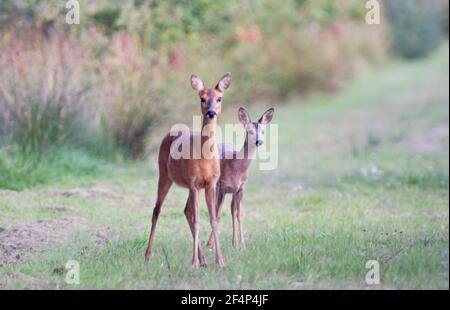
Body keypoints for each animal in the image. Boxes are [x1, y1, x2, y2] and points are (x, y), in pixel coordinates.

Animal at [145, 72, 232, 266]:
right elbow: (198, 219)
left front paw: (220, 261)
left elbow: (213, 219)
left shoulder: (210, 183)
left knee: (186, 211)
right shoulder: (193, 183)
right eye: (202, 98)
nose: (211, 112)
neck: (205, 157)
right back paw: (148, 255)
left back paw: (203, 258)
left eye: (219, 98)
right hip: (164, 174)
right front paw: (194, 263)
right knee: (157, 210)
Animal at [207, 108, 274, 248]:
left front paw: (241, 243)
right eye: (250, 131)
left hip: (232, 191)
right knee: (215, 209)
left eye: (263, 131)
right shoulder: (222, 186)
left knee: (231, 210)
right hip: (215, 186)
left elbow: (239, 213)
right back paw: (211, 243)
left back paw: (232, 241)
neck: (235, 168)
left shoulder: (241, 188)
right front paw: (212, 245)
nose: (259, 141)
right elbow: (218, 213)